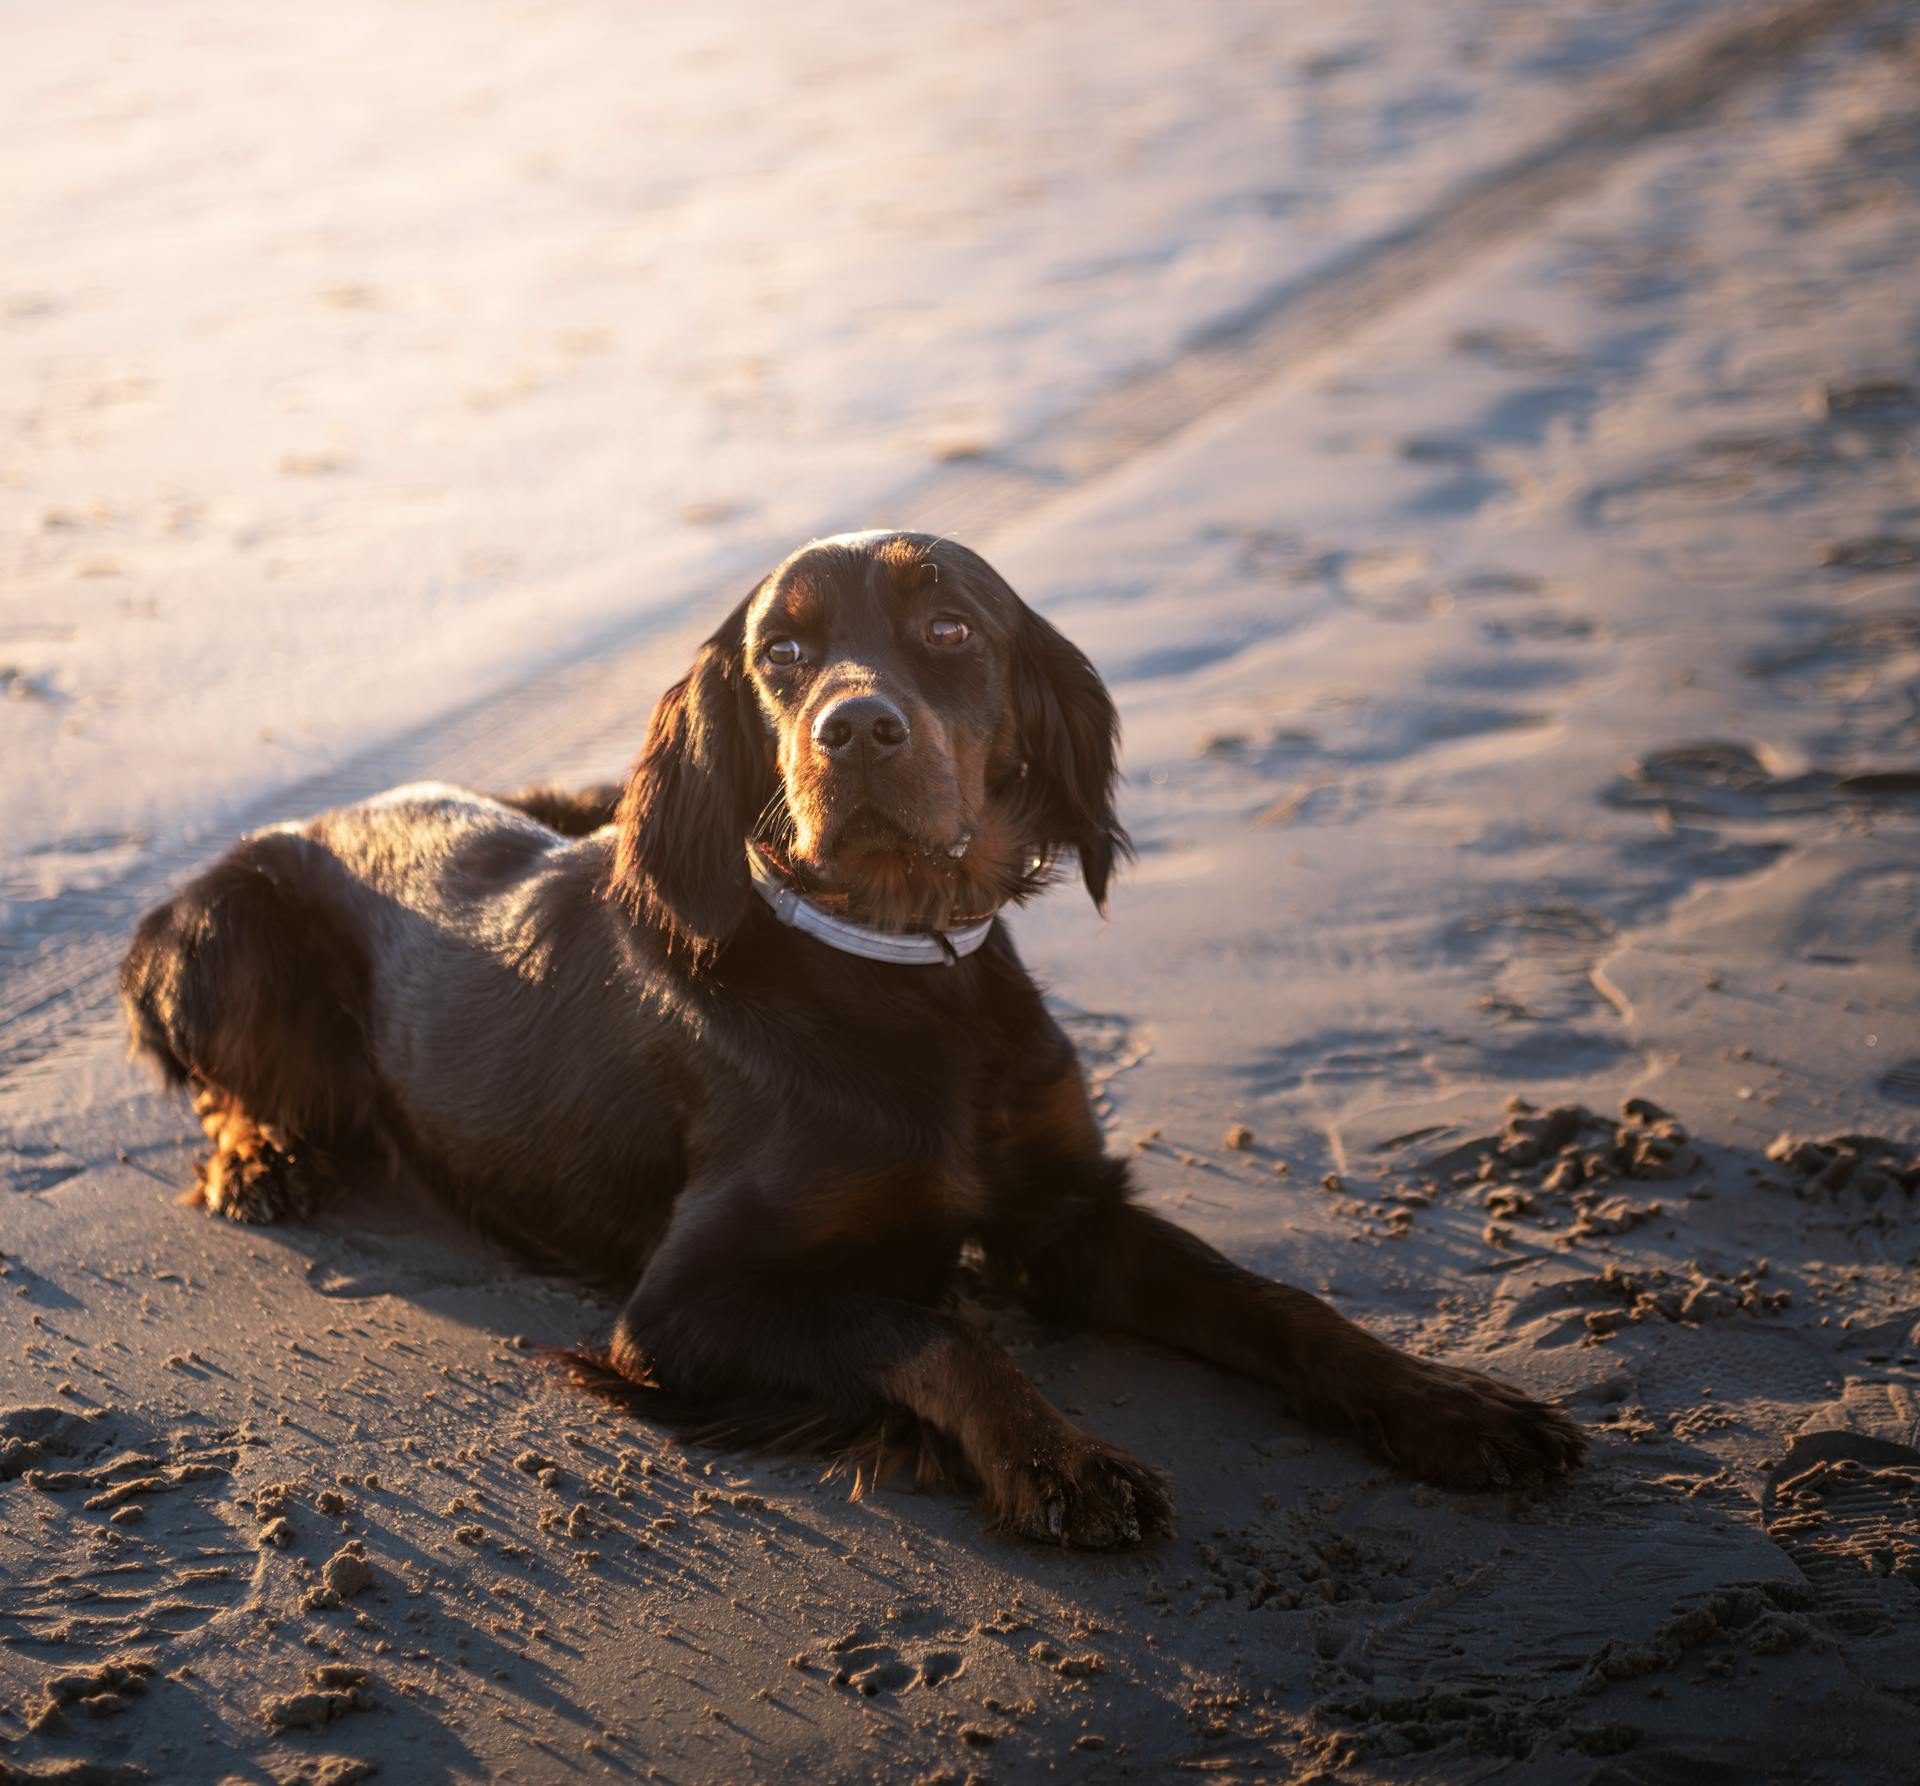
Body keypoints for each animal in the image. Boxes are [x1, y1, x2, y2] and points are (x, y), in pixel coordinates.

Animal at [123, 530, 1589, 1544]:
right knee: (228, 1083)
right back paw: (260, 1159)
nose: (857, 728)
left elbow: (1279, 1302)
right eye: (781, 654)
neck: (901, 973)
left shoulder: (1070, 1210)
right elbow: (930, 1330)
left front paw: (1451, 1403)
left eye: (949, 626)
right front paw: (1061, 1458)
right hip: (234, 927)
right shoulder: (681, 1308)